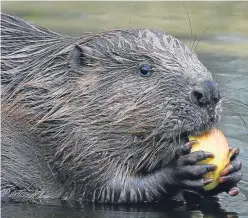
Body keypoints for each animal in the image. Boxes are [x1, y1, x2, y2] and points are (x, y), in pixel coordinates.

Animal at [0, 13, 243, 204]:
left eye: (195, 57)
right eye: (144, 69)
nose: (209, 92)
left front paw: (233, 167)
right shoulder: (68, 138)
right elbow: (112, 188)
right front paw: (181, 169)